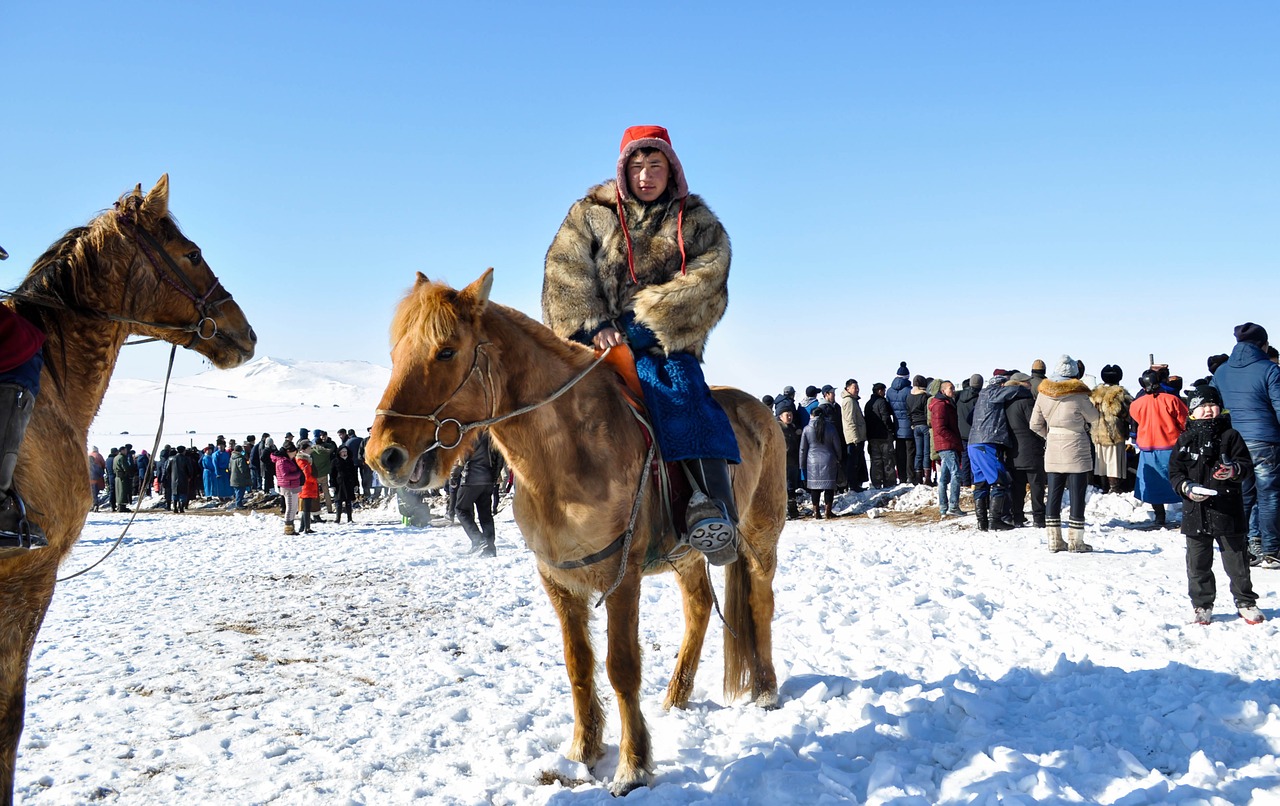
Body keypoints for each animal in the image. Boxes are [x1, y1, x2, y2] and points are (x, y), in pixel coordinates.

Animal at [371, 269, 783, 798]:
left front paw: (633, 766)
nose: (383, 455)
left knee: (759, 602)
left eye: (446, 351)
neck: (566, 455)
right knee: (698, 609)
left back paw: (766, 689)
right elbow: (579, 666)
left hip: (760, 537)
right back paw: (676, 695)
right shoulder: (559, 581)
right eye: (395, 354)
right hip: (686, 557)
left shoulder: (621, 576)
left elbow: (621, 667)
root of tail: (761, 411)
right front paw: (582, 752)